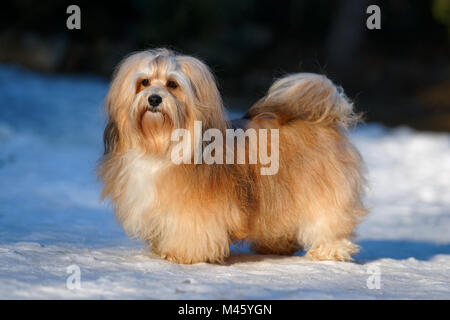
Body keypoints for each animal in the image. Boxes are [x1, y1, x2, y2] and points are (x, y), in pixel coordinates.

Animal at [98, 47, 366, 262]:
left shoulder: (197, 208)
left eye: (172, 84)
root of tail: (322, 118)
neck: (161, 146)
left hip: (321, 191)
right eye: (143, 82)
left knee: (328, 221)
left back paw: (329, 250)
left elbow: (191, 229)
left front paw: (182, 253)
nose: (154, 98)